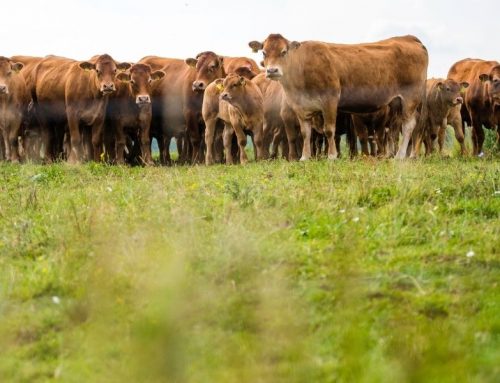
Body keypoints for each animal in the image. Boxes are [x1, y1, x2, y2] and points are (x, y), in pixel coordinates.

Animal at [248, 33, 428, 161]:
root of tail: (408, 38)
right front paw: (305, 157)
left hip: (411, 98)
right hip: (396, 102)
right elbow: (306, 133)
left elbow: (329, 131)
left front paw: (332, 156)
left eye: (284, 52)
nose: (272, 70)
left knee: (409, 126)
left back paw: (400, 156)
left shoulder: (330, 100)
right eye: (264, 52)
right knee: (396, 130)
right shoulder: (301, 107)